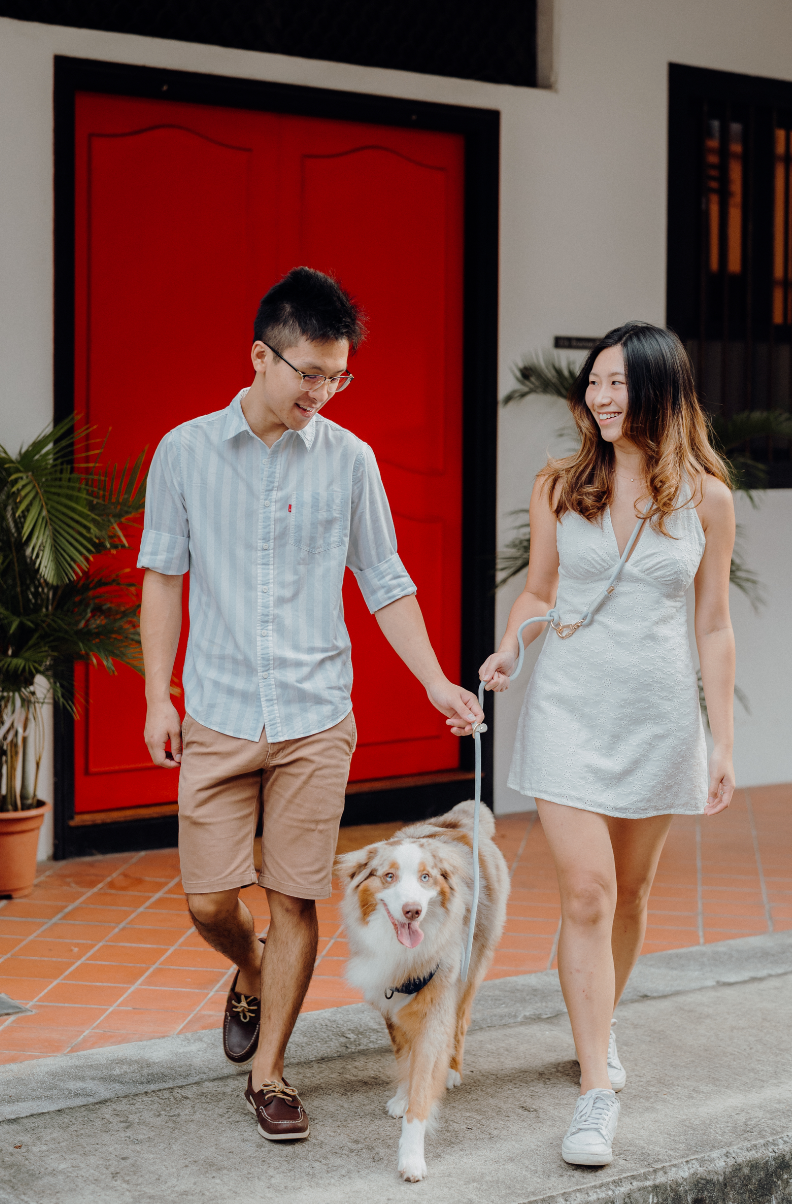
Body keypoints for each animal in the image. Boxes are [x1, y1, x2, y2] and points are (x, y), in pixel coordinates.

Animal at [332, 794, 505, 1179]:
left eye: (425, 878)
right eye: (389, 876)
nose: (412, 910)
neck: (404, 956)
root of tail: (457, 822)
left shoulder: (435, 1010)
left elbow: (423, 1081)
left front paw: (411, 1156)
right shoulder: (389, 1001)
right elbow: (404, 1056)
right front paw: (402, 1094)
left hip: (471, 969)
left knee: (461, 1022)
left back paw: (452, 1070)